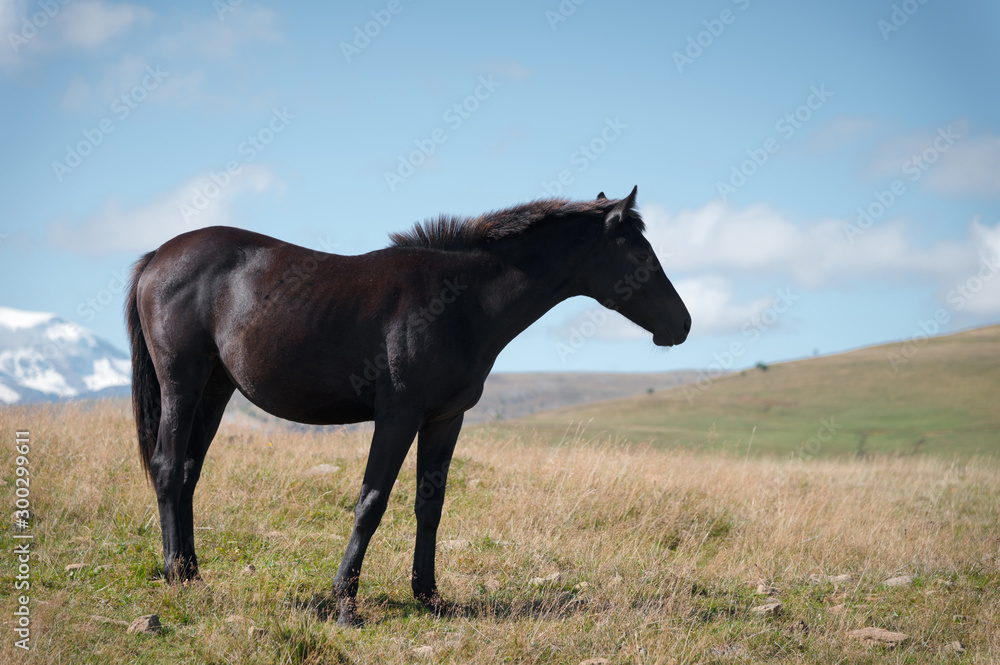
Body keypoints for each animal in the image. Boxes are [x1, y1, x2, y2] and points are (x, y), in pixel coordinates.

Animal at [125, 186, 690, 625]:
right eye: (642, 255)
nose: (682, 324)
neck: (460, 302)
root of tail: (159, 256)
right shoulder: (397, 417)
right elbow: (371, 502)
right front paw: (345, 601)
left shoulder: (445, 420)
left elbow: (429, 505)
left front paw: (429, 595)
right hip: (181, 384)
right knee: (169, 467)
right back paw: (176, 574)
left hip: (215, 391)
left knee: (190, 471)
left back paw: (193, 573)